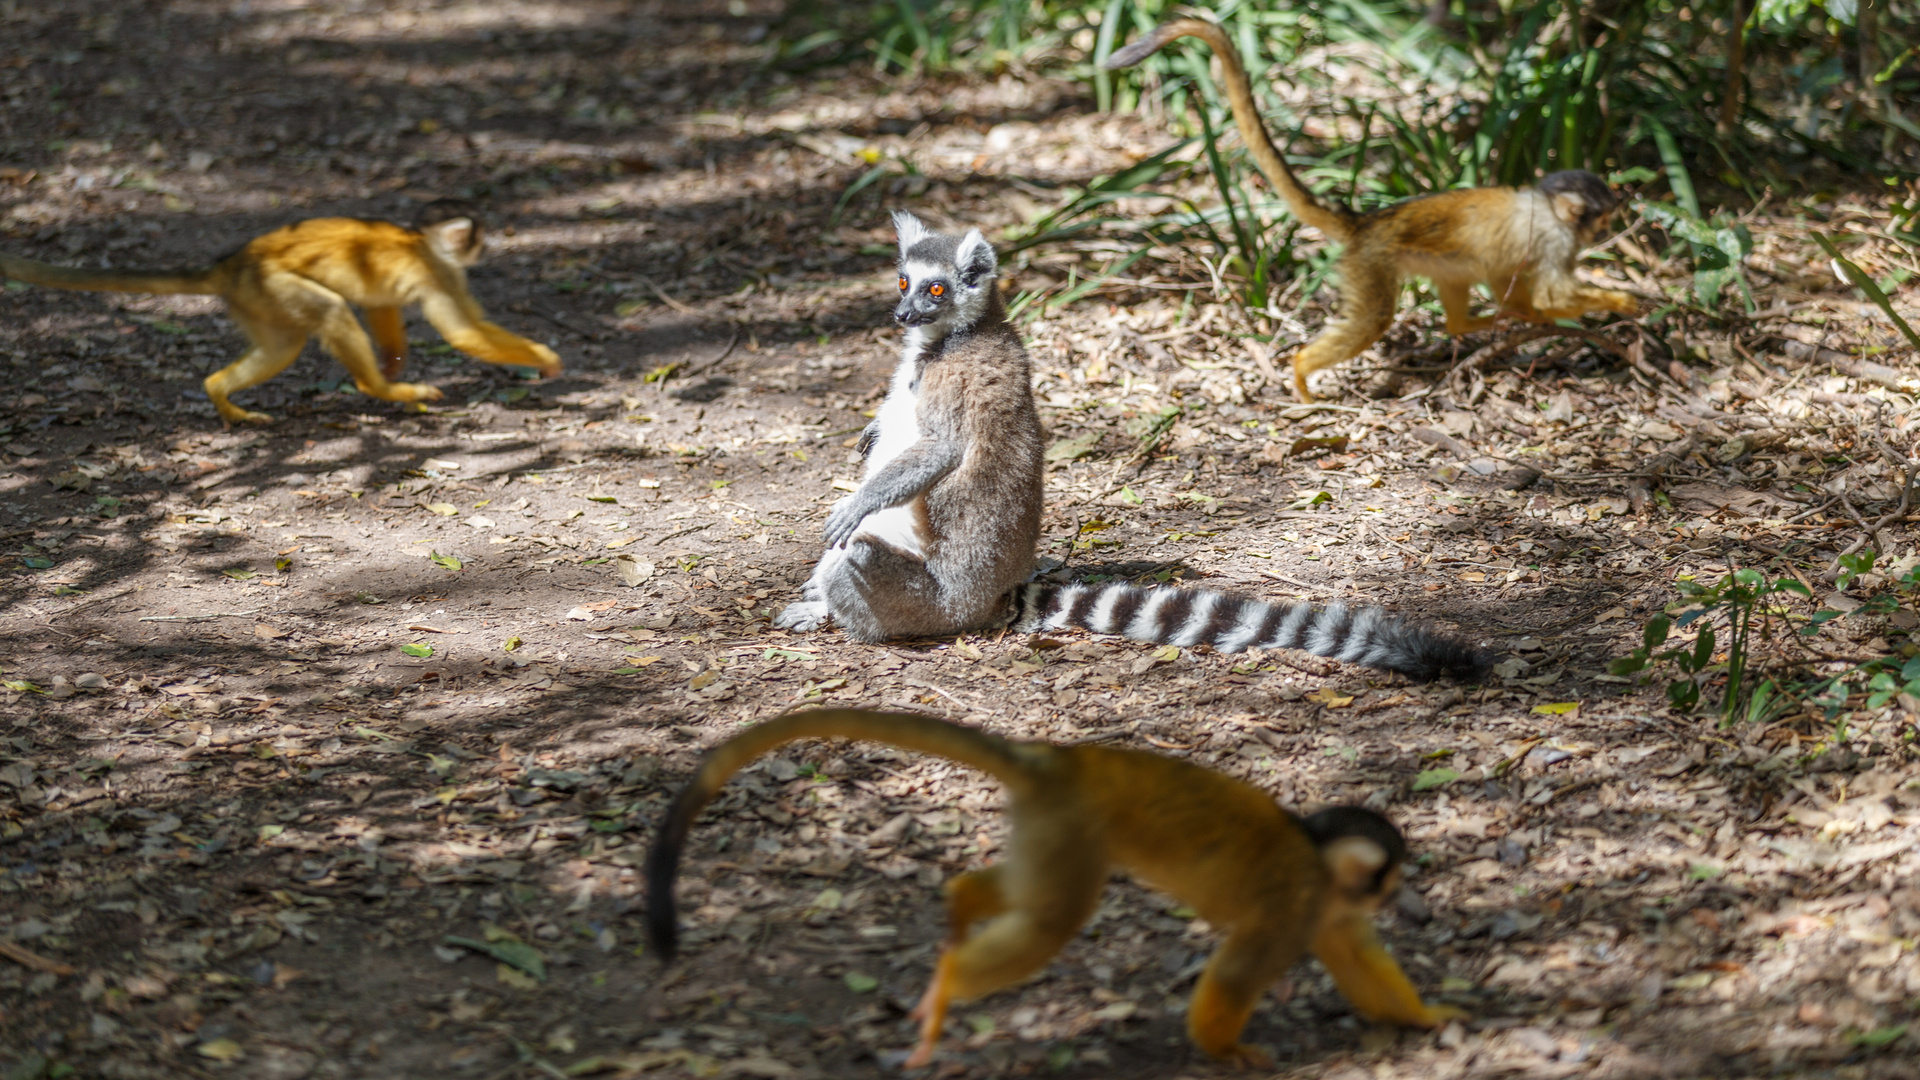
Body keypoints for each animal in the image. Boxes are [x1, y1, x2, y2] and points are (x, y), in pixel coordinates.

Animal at [0, 199, 560, 422]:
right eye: (476, 236)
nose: (486, 247)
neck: (424, 243)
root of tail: (231, 264)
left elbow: (382, 304)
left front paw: (395, 361)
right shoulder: (440, 271)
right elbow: (463, 334)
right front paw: (546, 358)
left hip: (256, 298)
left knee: (283, 343)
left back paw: (220, 394)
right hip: (272, 284)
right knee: (330, 311)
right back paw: (378, 389)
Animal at [645, 703, 1451, 1060]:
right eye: (1388, 879)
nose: (1400, 900)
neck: (1319, 864)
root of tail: (1055, 759)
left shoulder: (1325, 910)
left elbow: (1357, 960)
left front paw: (1430, 1019)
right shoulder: (1294, 909)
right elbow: (1232, 982)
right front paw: (1228, 1052)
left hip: (1049, 827)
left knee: (1034, 903)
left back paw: (960, 909)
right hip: (1073, 827)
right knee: (1052, 921)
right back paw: (947, 986)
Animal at [1113, 17, 1635, 399]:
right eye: (1604, 217)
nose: (1607, 232)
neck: (1548, 207)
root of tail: (1366, 221)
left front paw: (1538, 314)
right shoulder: (1555, 239)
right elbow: (1549, 293)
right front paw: (1620, 301)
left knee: (1463, 271)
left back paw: (1468, 324)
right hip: (1372, 262)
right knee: (1375, 319)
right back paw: (1302, 371)